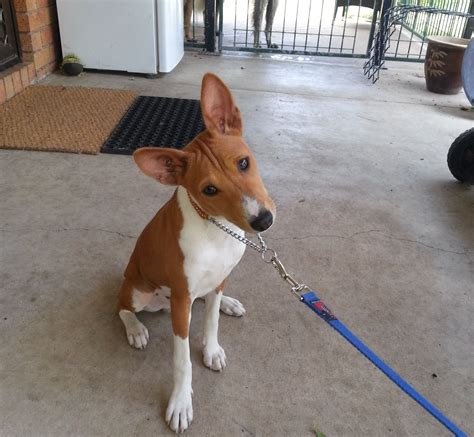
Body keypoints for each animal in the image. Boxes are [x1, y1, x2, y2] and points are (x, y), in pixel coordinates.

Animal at [116, 73, 276, 430]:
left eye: (243, 162)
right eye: (210, 189)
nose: (263, 220)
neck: (216, 230)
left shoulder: (219, 277)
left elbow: (212, 321)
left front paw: (212, 349)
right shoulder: (180, 299)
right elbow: (182, 360)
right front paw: (180, 402)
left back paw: (229, 303)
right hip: (137, 289)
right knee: (121, 307)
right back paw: (135, 329)